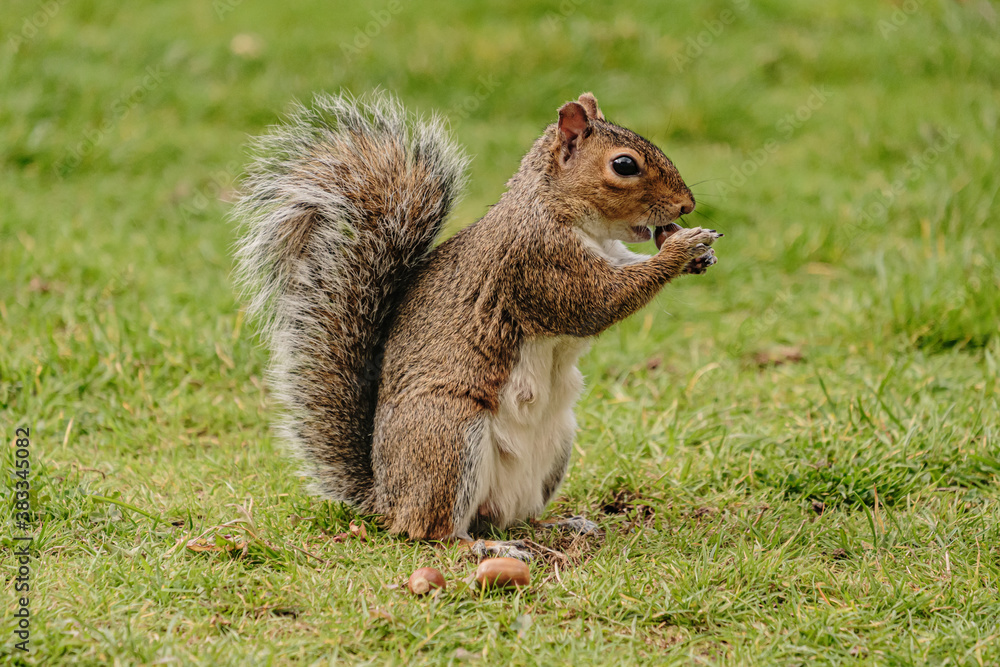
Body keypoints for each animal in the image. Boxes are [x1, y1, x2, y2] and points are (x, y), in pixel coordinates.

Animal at [233, 91, 721, 559]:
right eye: (624, 165)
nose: (688, 204)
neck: (557, 209)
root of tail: (386, 498)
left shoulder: (607, 254)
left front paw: (698, 254)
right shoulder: (538, 263)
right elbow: (598, 302)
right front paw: (683, 247)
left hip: (556, 442)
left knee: (507, 516)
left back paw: (558, 526)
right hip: (448, 437)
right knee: (434, 532)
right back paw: (485, 546)